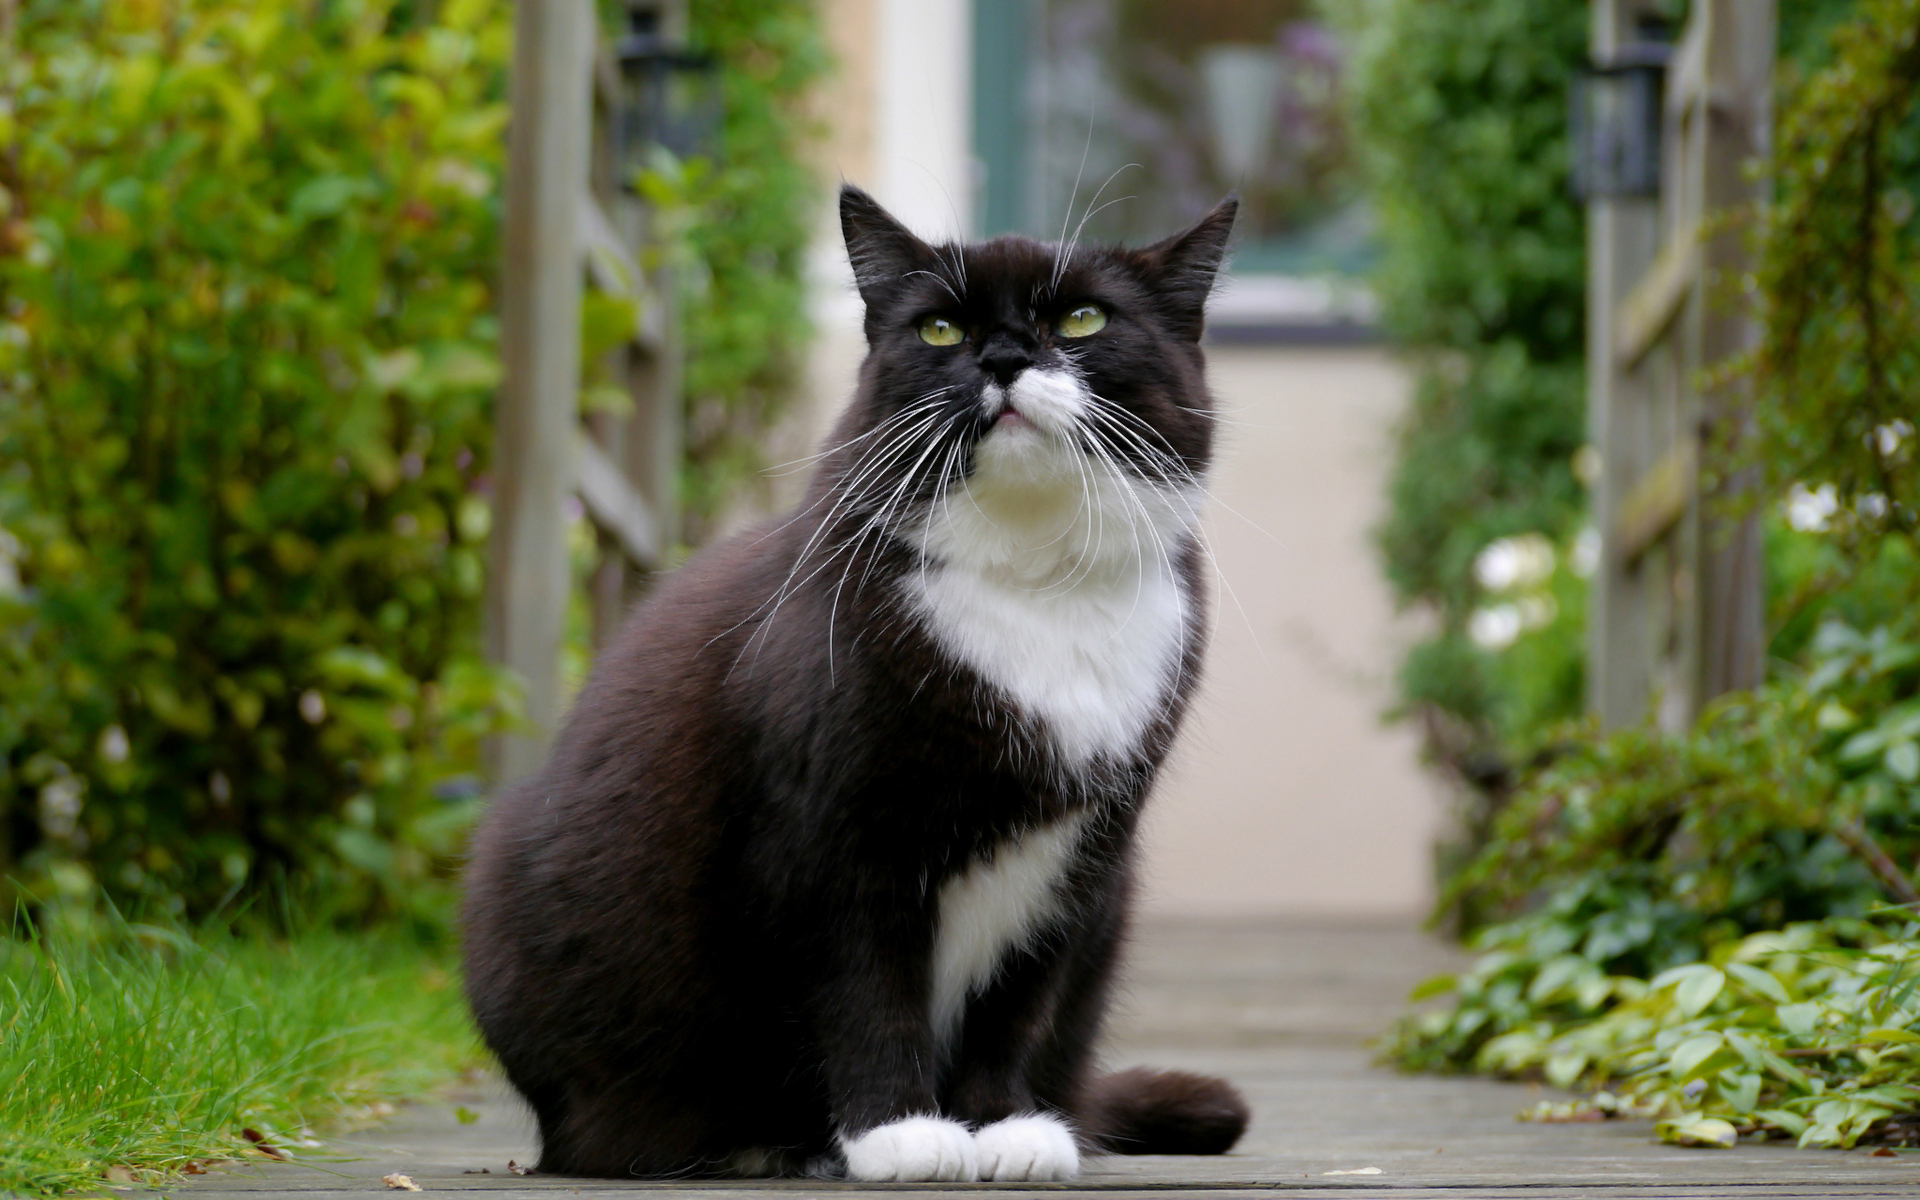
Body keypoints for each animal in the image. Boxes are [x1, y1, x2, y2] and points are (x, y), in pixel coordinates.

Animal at [460, 187, 1244, 1182]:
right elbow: (866, 985)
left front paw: (1005, 1128)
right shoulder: (830, 829)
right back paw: (766, 1145)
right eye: (941, 327)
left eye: (1083, 319)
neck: (1033, 583)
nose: (1003, 356)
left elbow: (1018, 999)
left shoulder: (1084, 850)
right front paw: (899, 1133)